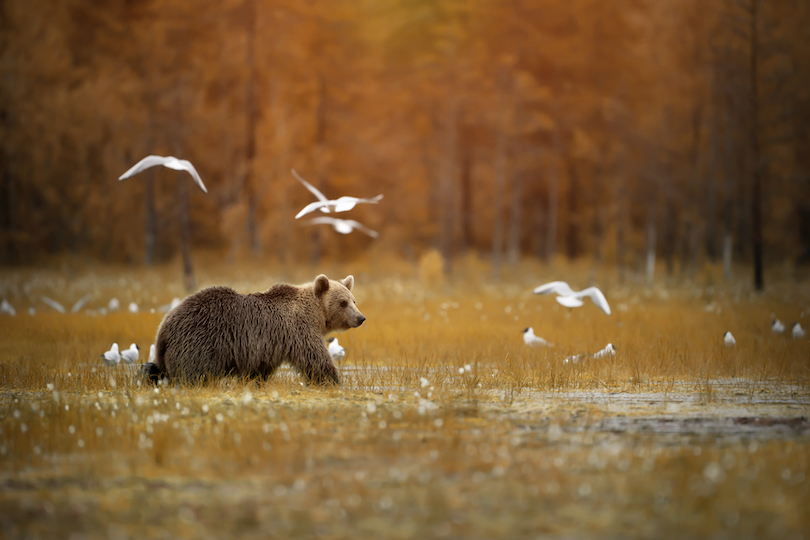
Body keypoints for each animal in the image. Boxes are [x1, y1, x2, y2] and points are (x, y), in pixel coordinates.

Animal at [142, 274, 362, 384]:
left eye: (353, 300)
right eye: (343, 303)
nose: (360, 318)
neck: (316, 315)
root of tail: (164, 326)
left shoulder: (266, 348)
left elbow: (258, 371)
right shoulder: (298, 330)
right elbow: (315, 359)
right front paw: (333, 380)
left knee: (155, 369)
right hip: (200, 342)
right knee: (195, 373)